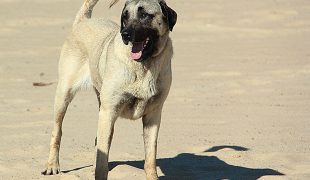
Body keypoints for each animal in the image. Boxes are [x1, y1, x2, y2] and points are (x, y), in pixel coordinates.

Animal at [41, 0, 177, 179]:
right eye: (125, 16)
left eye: (144, 15)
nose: (125, 34)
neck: (144, 66)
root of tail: (83, 21)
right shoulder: (109, 112)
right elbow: (102, 164)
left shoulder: (153, 116)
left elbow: (150, 160)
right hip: (64, 96)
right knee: (57, 131)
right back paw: (52, 165)